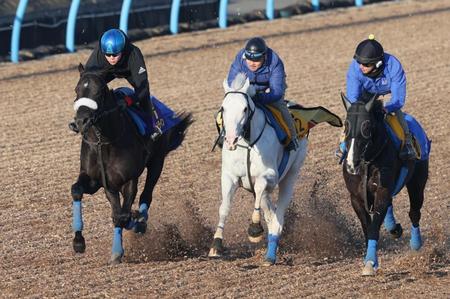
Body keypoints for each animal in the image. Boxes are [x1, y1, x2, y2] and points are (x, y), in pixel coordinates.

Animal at [70, 64, 192, 264]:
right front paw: (78, 241)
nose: (81, 121)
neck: (105, 141)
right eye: (76, 89)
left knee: (146, 194)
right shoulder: (98, 181)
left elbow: (122, 217)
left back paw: (141, 220)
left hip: (157, 162)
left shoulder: (129, 179)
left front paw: (122, 244)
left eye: (99, 91)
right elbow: (77, 191)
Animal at [208, 74, 308, 266]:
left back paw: (270, 255)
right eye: (223, 108)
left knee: (278, 217)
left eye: (245, 108)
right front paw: (216, 245)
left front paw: (254, 229)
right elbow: (224, 207)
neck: (247, 144)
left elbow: (261, 188)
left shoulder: (269, 176)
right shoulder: (229, 177)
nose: (231, 139)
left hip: (291, 175)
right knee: (270, 214)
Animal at [342, 93, 428, 276]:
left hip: (418, 182)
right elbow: (367, 227)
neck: (368, 162)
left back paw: (415, 243)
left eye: (367, 126)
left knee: (414, 212)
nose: (352, 164)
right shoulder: (356, 197)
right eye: (345, 125)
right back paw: (394, 227)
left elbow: (374, 227)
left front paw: (370, 262)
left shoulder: (383, 189)